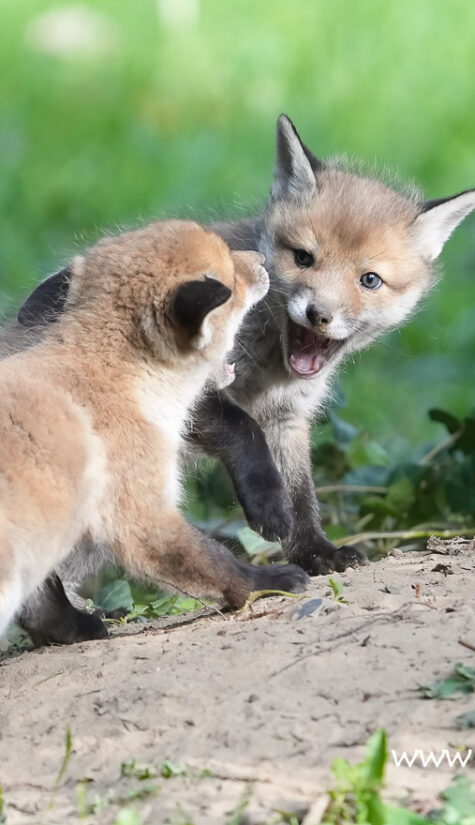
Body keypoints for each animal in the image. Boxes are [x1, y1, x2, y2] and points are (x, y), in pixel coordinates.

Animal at [0, 219, 308, 643]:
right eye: (230, 274)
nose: (262, 261)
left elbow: (44, 602)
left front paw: (75, 629)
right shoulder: (143, 517)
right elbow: (219, 561)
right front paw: (269, 581)